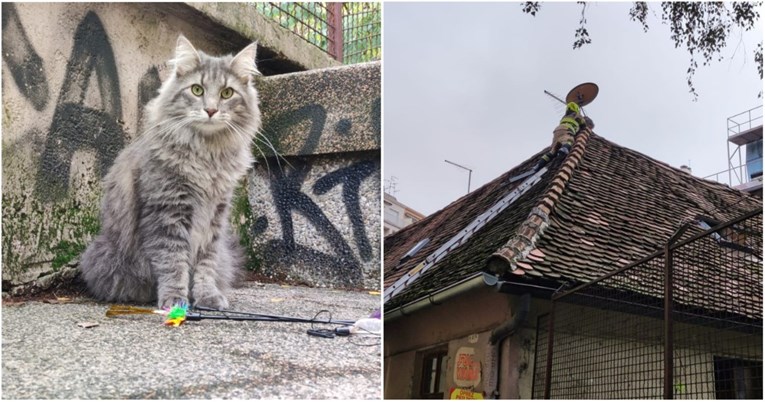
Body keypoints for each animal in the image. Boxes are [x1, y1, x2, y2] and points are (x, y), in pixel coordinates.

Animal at [79, 37, 262, 308]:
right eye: (197, 90)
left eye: (226, 93)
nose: (210, 110)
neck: (207, 154)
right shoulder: (167, 213)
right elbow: (173, 263)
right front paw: (175, 299)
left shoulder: (214, 218)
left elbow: (205, 266)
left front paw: (207, 296)